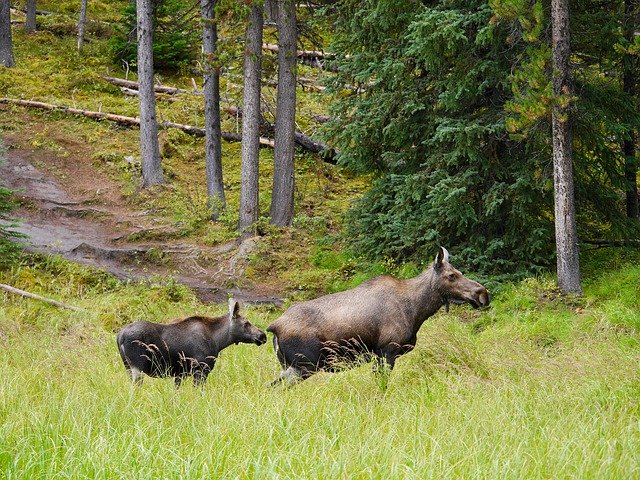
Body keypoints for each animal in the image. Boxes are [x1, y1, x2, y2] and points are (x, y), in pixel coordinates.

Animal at [117, 298, 264, 388]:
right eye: (246, 323)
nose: (262, 336)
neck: (218, 341)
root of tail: (119, 337)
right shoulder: (201, 370)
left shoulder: (179, 374)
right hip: (137, 368)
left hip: (128, 367)